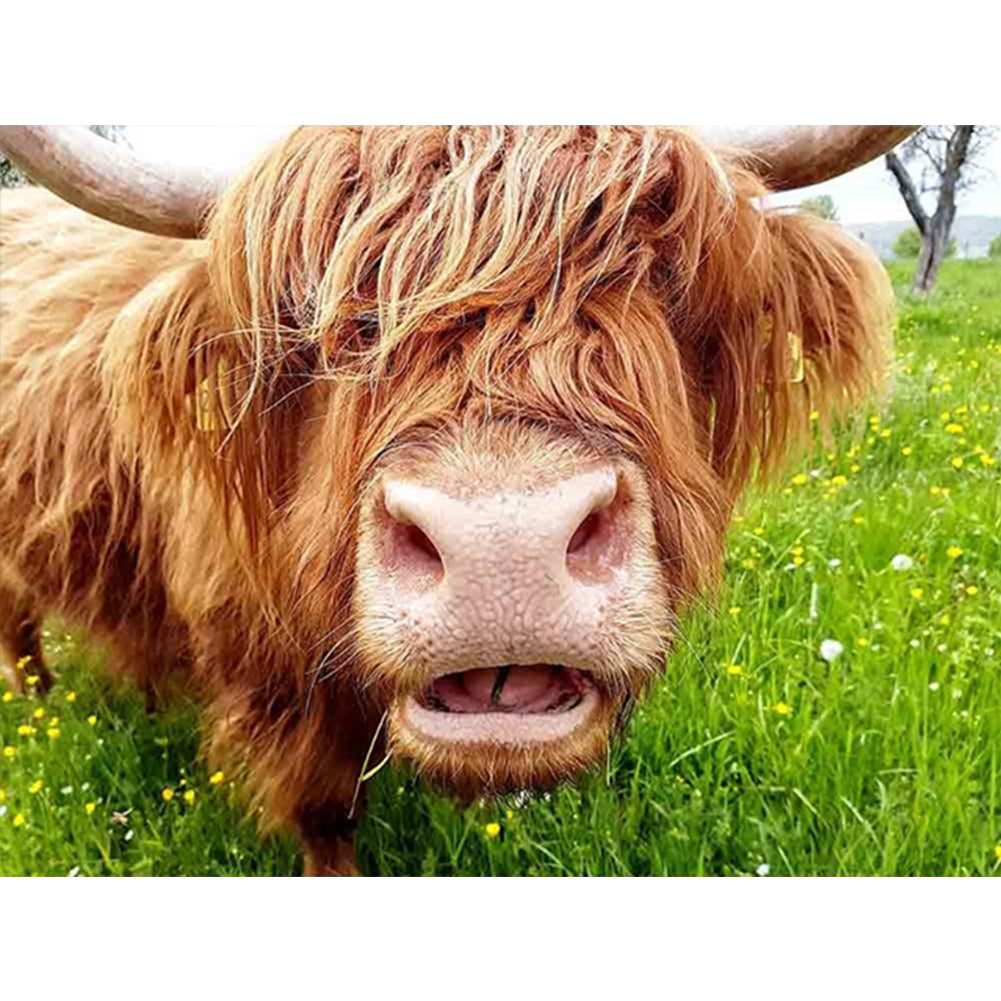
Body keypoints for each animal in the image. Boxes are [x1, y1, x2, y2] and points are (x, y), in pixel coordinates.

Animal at [0, 126, 912, 874]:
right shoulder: (274, 679)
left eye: (665, 279)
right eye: (308, 321)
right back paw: (41, 703)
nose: (501, 549)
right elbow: (324, 808)